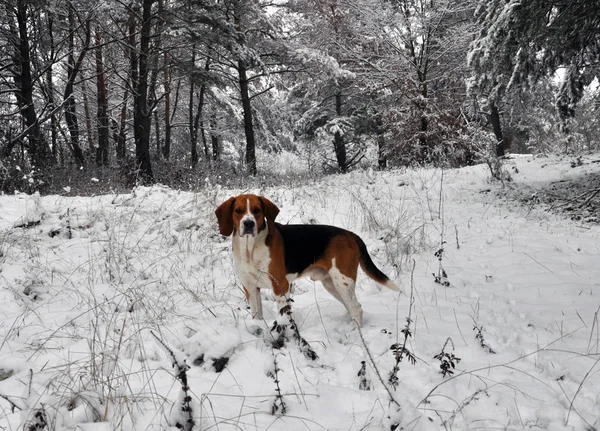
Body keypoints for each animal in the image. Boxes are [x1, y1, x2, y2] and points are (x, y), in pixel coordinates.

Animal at [213, 194, 400, 326]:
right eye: (238, 211)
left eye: (257, 210)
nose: (249, 223)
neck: (250, 248)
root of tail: (350, 234)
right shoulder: (251, 288)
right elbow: (257, 316)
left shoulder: (280, 286)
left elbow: (284, 317)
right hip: (332, 284)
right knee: (354, 307)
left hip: (342, 281)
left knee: (356, 309)